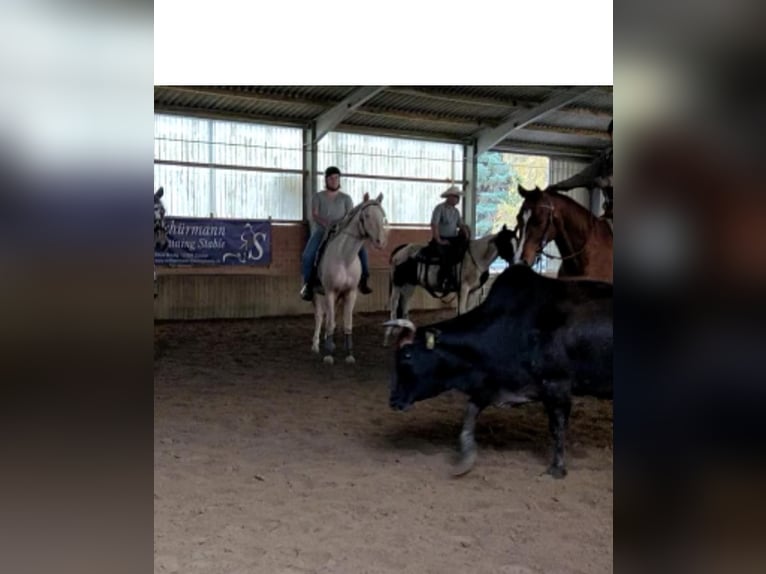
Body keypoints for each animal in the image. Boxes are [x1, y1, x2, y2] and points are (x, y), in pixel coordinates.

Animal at [310, 194, 388, 364]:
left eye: (382, 215)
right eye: (366, 216)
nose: (380, 242)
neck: (344, 257)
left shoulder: (350, 293)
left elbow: (347, 324)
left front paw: (349, 354)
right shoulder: (330, 291)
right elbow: (329, 323)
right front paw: (328, 355)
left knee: (330, 317)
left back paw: (328, 342)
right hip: (318, 293)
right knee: (320, 317)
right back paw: (316, 345)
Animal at [388, 264, 616, 480]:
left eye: (406, 355)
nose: (393, 400)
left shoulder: (556, 384)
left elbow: (557, 427)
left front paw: (557, 468)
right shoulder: (490, 385)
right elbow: (470, 414)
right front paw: (465, 460)